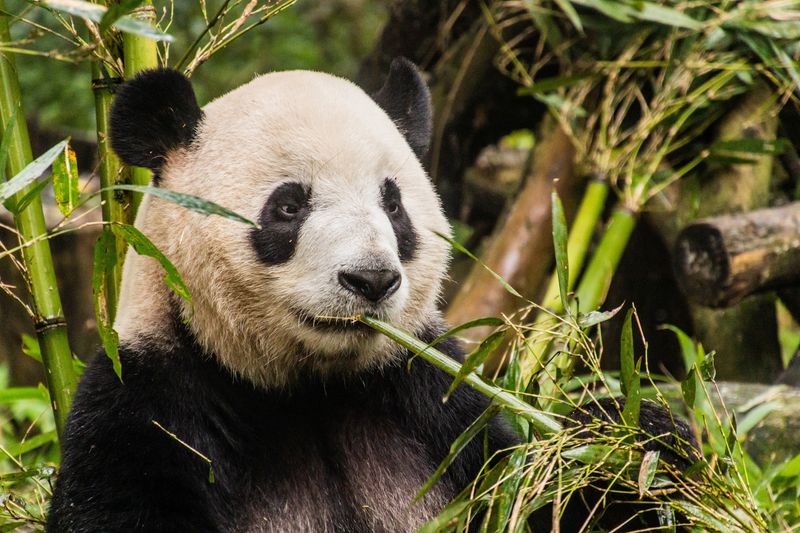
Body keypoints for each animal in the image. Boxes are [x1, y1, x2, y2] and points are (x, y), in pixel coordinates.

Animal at [47, 59, 696, 532]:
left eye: (393, 203)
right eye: (289, 205)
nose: (371, 280)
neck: (308, 388)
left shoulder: (429, 395)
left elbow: (534, 495)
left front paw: (633, 440)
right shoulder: (151, 399)